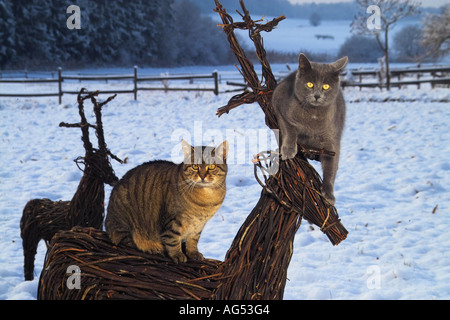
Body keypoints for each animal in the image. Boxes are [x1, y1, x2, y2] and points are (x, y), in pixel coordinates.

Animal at [270, 52, 348, 202]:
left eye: (326, 86)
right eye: (310, 84)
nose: (317, 95)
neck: (313, 115)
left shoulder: (332, 139)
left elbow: (332, 164)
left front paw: (328, 193)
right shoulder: (279, 106)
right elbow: (290, 129)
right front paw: (289, 150)